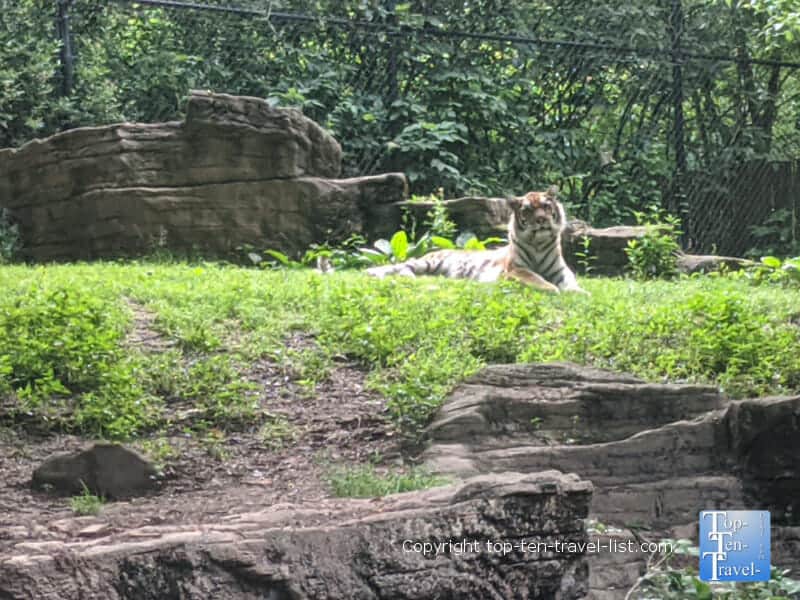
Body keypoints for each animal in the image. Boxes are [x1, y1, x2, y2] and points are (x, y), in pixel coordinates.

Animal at [366, 186, 587, 294]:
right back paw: (376, 272)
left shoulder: (561, 270)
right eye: (528, 210)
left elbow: (571, 281)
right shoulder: (515, 270)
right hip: (428, 262)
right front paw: (552, 288)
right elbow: (536, 278)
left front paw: (579, 292)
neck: (539, 244)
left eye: (546, 206)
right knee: (400, 266)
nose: (541, 219)